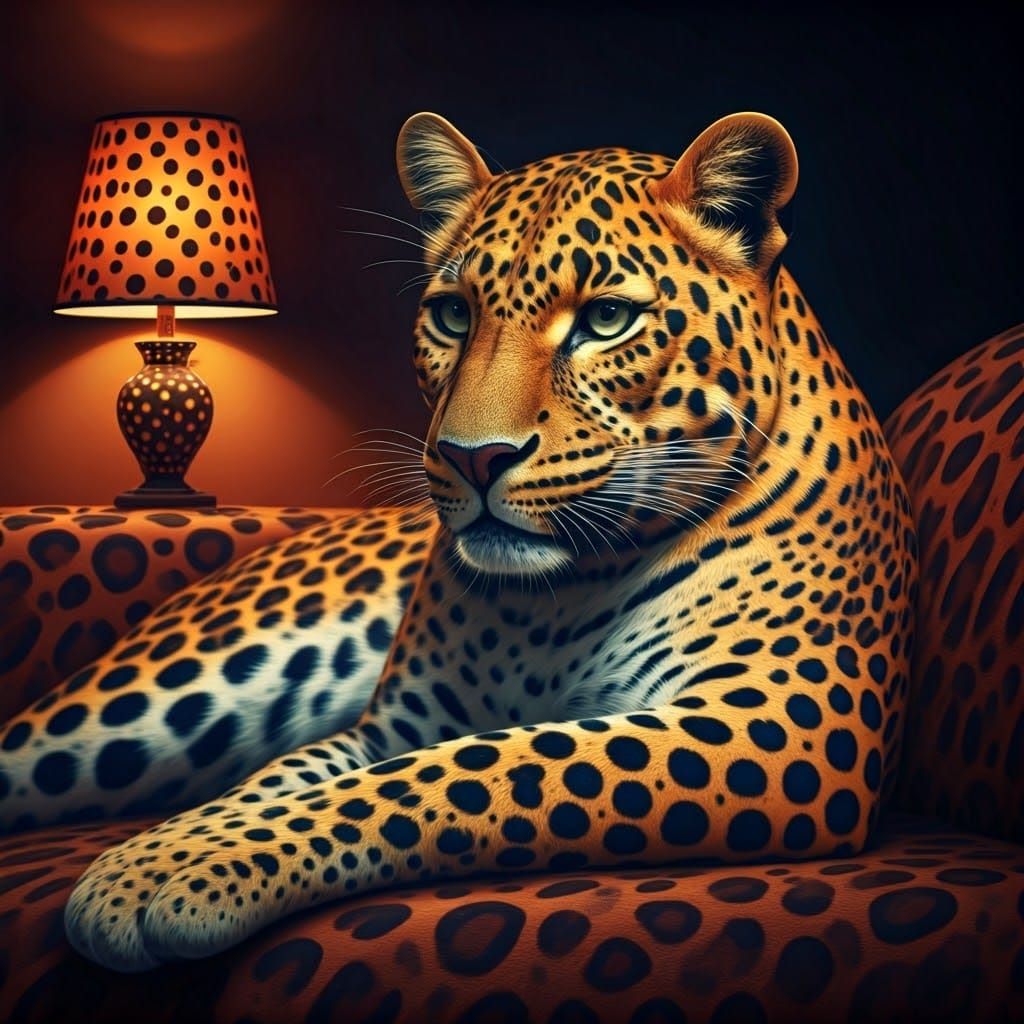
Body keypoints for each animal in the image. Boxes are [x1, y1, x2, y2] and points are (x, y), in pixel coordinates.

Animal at [0, 111, 917, 973]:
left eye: (607, 320)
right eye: (452, 314)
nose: (475, 458)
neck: (552, 602)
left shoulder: (770, 723)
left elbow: (463, 769)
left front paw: (175, 869)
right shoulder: (388, 727)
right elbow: (286, 781)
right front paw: (166, 851)